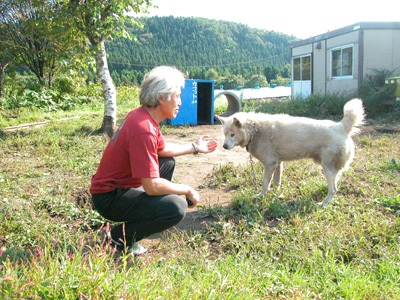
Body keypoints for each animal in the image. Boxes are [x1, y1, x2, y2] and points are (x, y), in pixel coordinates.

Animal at [220, 98, 364, 206]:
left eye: (232, 134)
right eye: (225, 134)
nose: (224, 146)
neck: (255, 130)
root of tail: (341, 127)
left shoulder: (270, 164)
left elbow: (265, 183)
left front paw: (262, 195)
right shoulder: (277, 164)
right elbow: (277, 182)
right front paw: (274, 193)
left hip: (327, 168)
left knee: (333, 189)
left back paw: (323, 204)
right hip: (332, 169)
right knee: (334, 187)